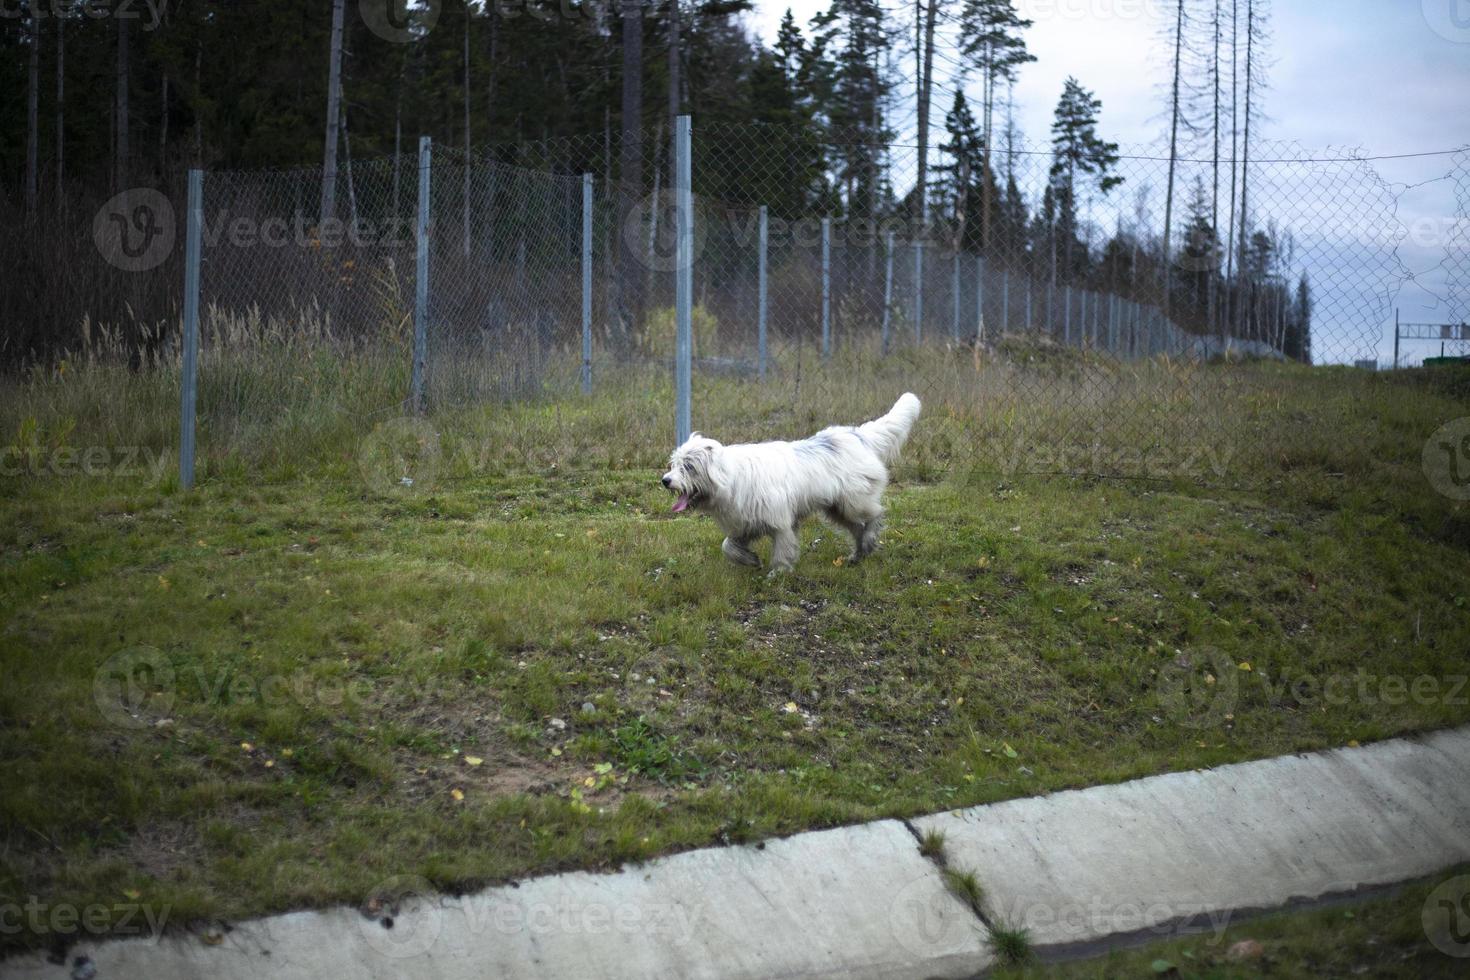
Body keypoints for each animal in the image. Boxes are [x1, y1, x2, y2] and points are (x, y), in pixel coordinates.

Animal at [664, 393, 917, 575]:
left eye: (689, 466)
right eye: (674, 464)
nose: (665, 480)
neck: (731, 478)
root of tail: (857, 435)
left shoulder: (780, 522)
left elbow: (783, 548)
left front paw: (778, 573)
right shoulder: (745, 524)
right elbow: (728, 546)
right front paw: (750, 560)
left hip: (853, 502)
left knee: (875, 515)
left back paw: (870, 540)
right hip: (837, 508)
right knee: (857, 528)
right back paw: (859, 553)